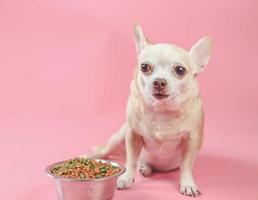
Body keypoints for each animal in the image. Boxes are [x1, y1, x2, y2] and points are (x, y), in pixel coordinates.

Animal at [82, 24, 212, 197]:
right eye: (144, 67)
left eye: (180, 70)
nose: (159, 82)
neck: (161, 111)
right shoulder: (132, 134)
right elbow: (130, 160)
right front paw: (126, 178)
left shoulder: (191, 140)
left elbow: (186, 166)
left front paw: (187, 184)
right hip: (119, 136)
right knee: (105, 149)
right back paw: (90, 156)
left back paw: (146, 168)